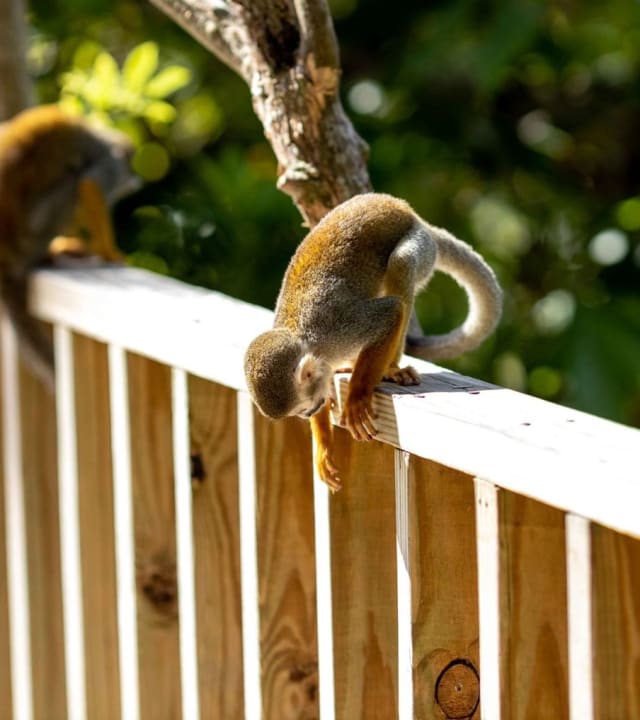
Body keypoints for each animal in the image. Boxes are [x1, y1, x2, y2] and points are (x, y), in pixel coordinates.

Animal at [0, 104, 139, 387]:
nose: (136, 178)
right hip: (33, 231)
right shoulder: (108, 164)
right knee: (75, 182)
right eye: (130, 164)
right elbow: (90, 184)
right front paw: (109, 252)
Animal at [244, 193, 502, 491]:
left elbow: (390, 311)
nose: (309, 414)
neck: (311, 344)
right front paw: (323, 444)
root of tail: (411, 214)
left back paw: (391, 367)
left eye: (302, 408)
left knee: (401, 265)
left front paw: (357, 396)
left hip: (421, 245)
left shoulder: (338, 331)